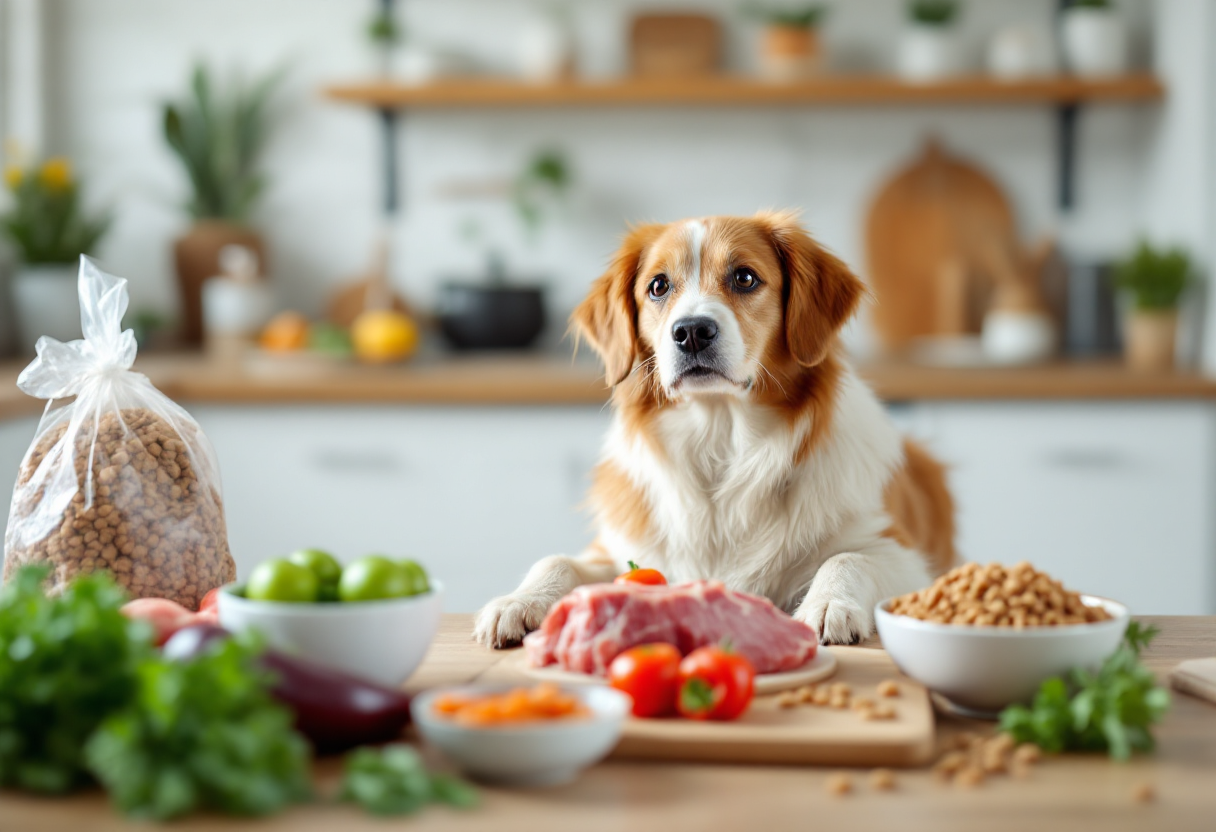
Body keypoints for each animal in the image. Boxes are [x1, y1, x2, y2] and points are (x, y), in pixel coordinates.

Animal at [469, 211, 953, 647]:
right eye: (658, 286)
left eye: (744, 278)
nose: (691, 332)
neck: (721, 441)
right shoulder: (620, 550)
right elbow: (556, 560)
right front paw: (519, 601)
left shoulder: (905, 555)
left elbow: (849, 558)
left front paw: (828, 604)